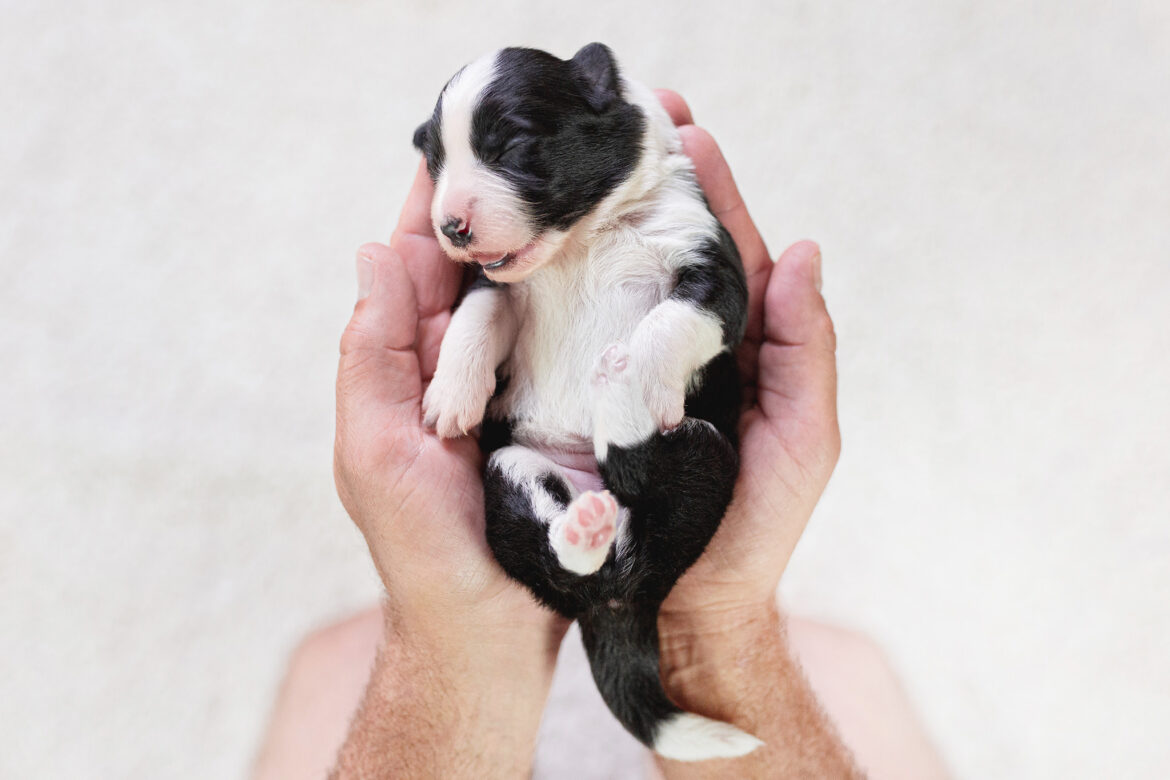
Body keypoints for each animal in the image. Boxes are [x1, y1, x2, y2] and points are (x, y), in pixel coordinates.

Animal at [411, 44, 758, 762]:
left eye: (512, 145)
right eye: (434, 163)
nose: (451, 227)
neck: (581, 239)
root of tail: (625, 600)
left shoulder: (711, 266)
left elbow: (670, 322)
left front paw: (637, 365)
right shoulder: (494, 282)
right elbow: (474, 314)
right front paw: (451, 397)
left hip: (710, 457)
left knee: (638, 469)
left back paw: (619, 394)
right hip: (508, 476)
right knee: (563, 558)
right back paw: (585, 529)